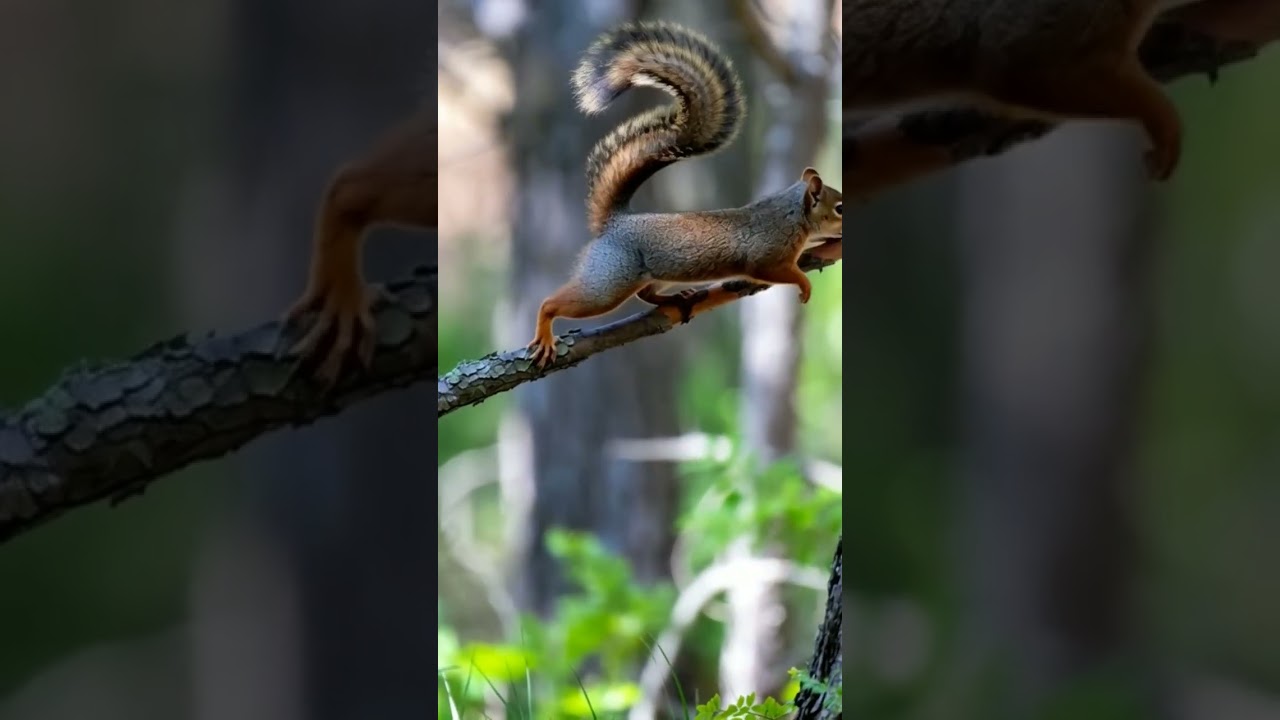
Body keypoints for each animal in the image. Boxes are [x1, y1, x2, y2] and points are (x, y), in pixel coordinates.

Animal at [526, 21, 844, 368]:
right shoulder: (768, 253)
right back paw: (546, 331)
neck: (792, 214)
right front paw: (804, 283)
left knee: (645, 293)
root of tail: (614, 222)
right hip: (610, 278)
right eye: (840, 208)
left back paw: (676, 296)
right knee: (554, 302)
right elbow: (773, 271)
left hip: (659, 272)